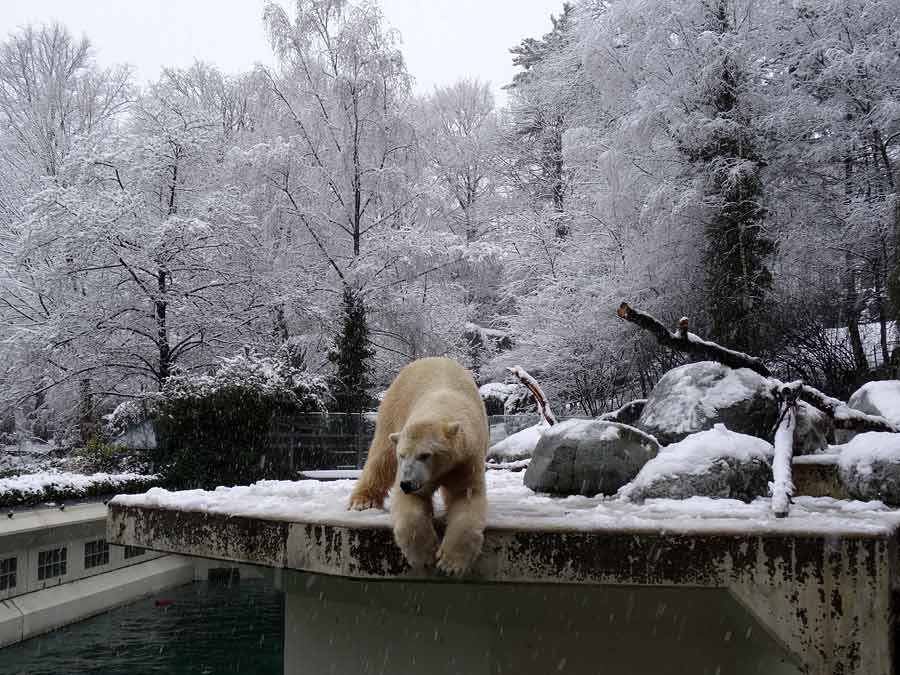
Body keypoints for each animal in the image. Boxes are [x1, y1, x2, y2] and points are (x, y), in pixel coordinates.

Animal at [348, 360, 488, 576]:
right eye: (402, 455)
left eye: (425, 455)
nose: (407, 484)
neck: (442, 404)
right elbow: (411, 506)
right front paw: (426, 556)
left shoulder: (466, 459)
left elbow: (466, 496)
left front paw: (450, 564)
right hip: (391, 411)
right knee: (381, 458)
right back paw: (363, 501)